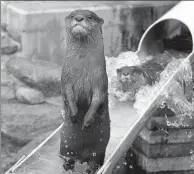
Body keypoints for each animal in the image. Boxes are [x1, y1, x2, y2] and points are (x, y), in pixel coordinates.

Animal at [59, 9, 110, 173]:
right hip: (65, 143)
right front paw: (74, 114)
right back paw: (68, 165)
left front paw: (87, 121)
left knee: (95, 160)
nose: (79, 18)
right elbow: (68, 94)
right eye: (72, 15)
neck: (82, 69)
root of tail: (82, 156)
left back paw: (91, 168)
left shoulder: (100, 81)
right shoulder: (66, 79)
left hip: (100, 148)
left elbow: (98, 99)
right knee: (67, 156)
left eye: (90, 17)